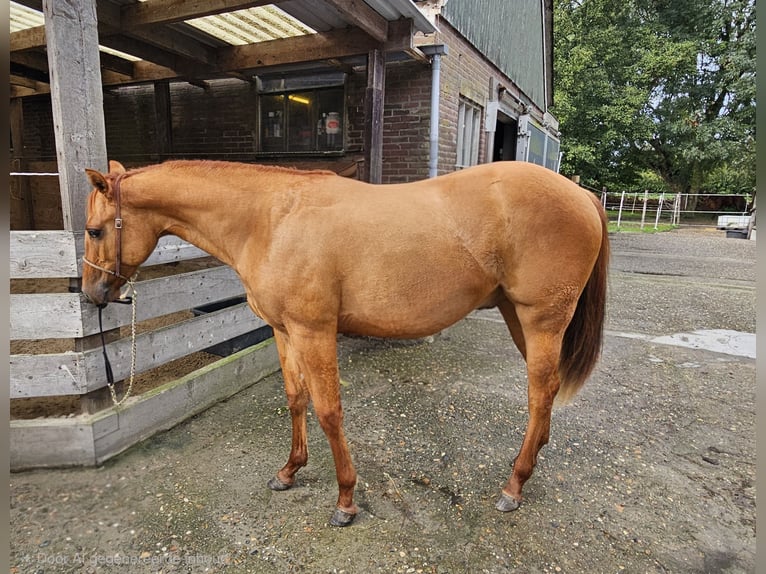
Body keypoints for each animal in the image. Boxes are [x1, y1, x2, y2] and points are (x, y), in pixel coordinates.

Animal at [81, 159, 610, 527]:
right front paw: (289, 471)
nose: (92, 295)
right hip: (519, 318)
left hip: (540, 320)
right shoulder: (284, 331)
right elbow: (296, 399)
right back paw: (531, 459)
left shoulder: (314, 331)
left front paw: (345, 499)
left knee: (540, 392)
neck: (272, 220)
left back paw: (514, 485)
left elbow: (329, 410)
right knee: (547, 392)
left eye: (94, 230)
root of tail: (582, 195)